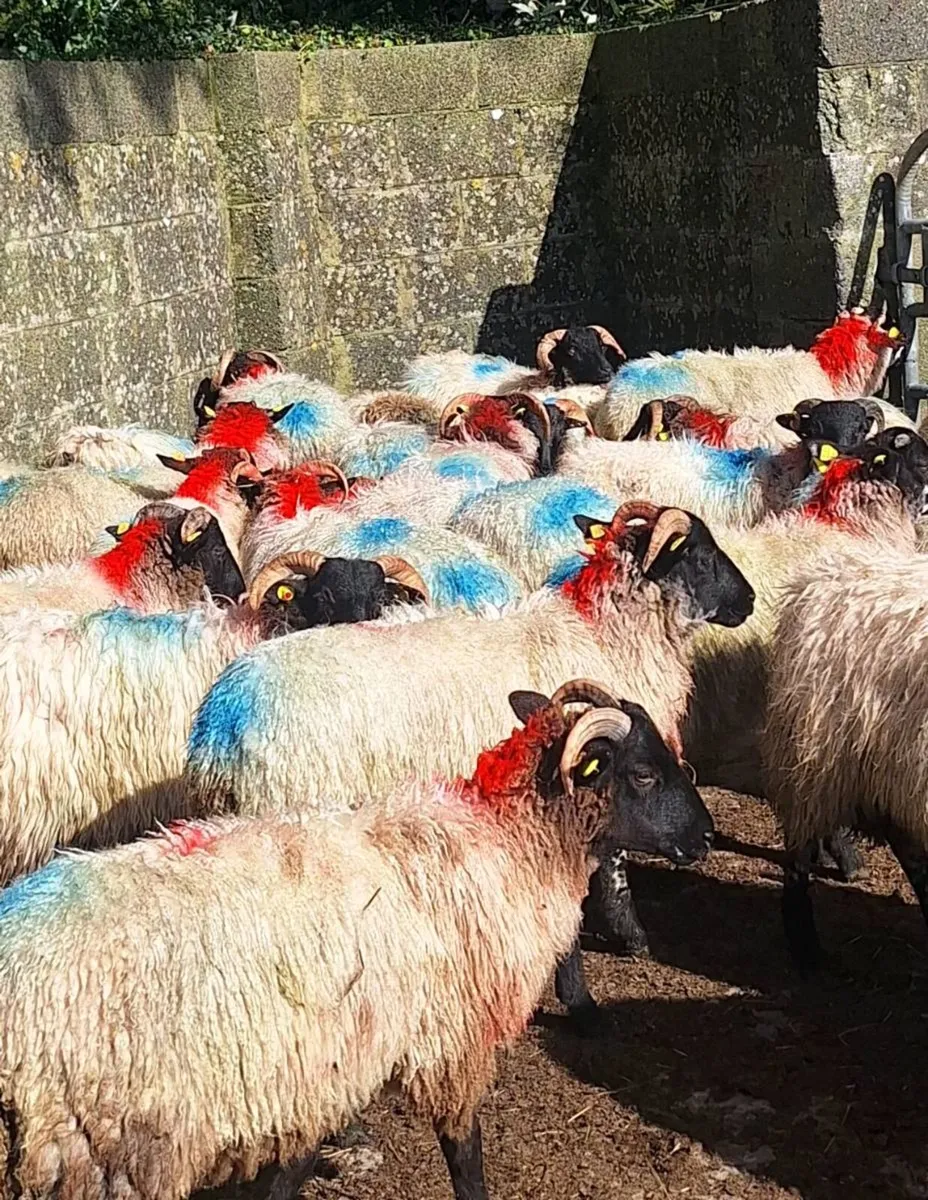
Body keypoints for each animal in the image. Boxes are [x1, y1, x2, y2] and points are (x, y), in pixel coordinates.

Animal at [0, 680, 711, 1200]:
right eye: (644, 774)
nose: (704, 837)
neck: (504, 840)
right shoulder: (447, 1040)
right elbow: (465, 1152)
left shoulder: (317, 1072)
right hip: (104, 1148)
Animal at [187, 502, 753, 962]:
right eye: (701, 557)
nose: (748, 601)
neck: (605, 631)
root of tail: (222, 723)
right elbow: (614, 863)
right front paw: (631, 935)